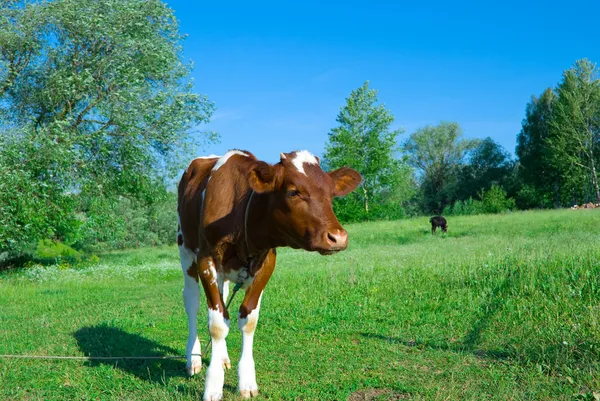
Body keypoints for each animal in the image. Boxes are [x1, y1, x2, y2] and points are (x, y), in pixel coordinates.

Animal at [176, 148, 358, 398]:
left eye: (331, 193)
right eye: (293, 191)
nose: (338, 237)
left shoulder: (266, 262)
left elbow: (248, 320)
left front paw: (246, 382)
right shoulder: (206, 259)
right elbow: (217, 324)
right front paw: (213, 385)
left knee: (224, 299)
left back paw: (222, 357)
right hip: (185, 249)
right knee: (192, 303)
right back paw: (193, 359)